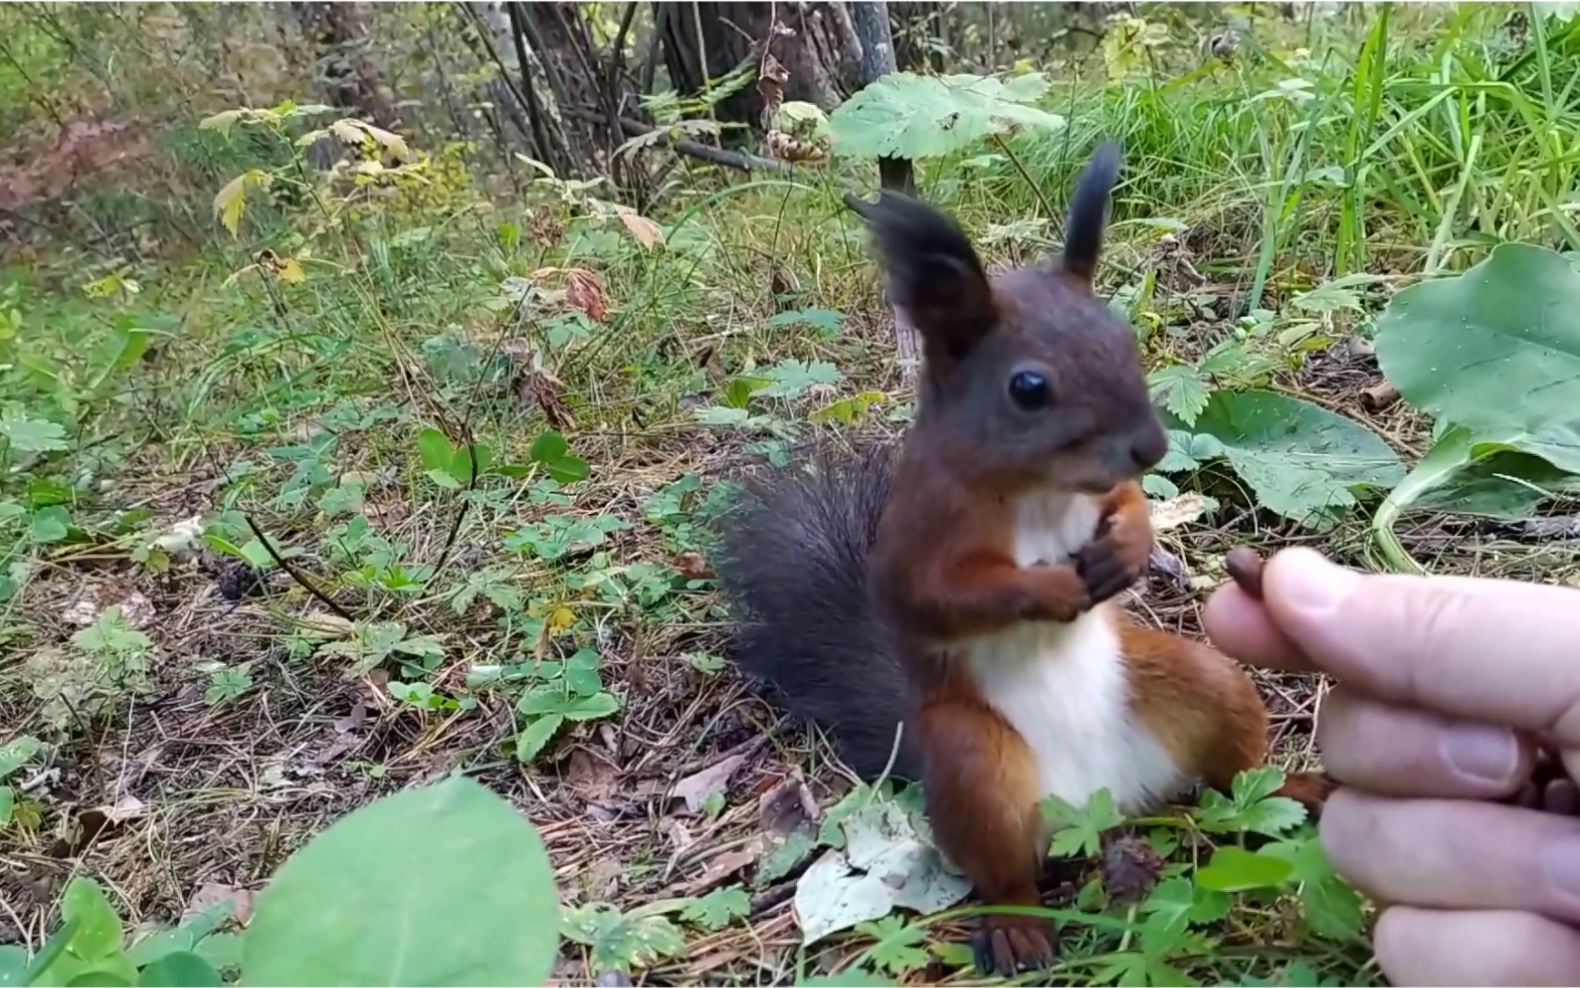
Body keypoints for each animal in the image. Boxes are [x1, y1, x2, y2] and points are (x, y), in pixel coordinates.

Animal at [717, 142, 1333, 973]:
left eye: (1124, 340)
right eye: (1029, 388)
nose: (1151, 445)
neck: (1041, 490)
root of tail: (1099, 802)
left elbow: (1128, 504)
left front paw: (1128, 547)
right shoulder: (921, 530)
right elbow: (937, 597)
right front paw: (1046, 591)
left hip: (1196, 684)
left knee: (1230, 772)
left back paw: (1295, 791)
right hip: (974, 761)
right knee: (1004, 868)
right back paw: (1017, 925)